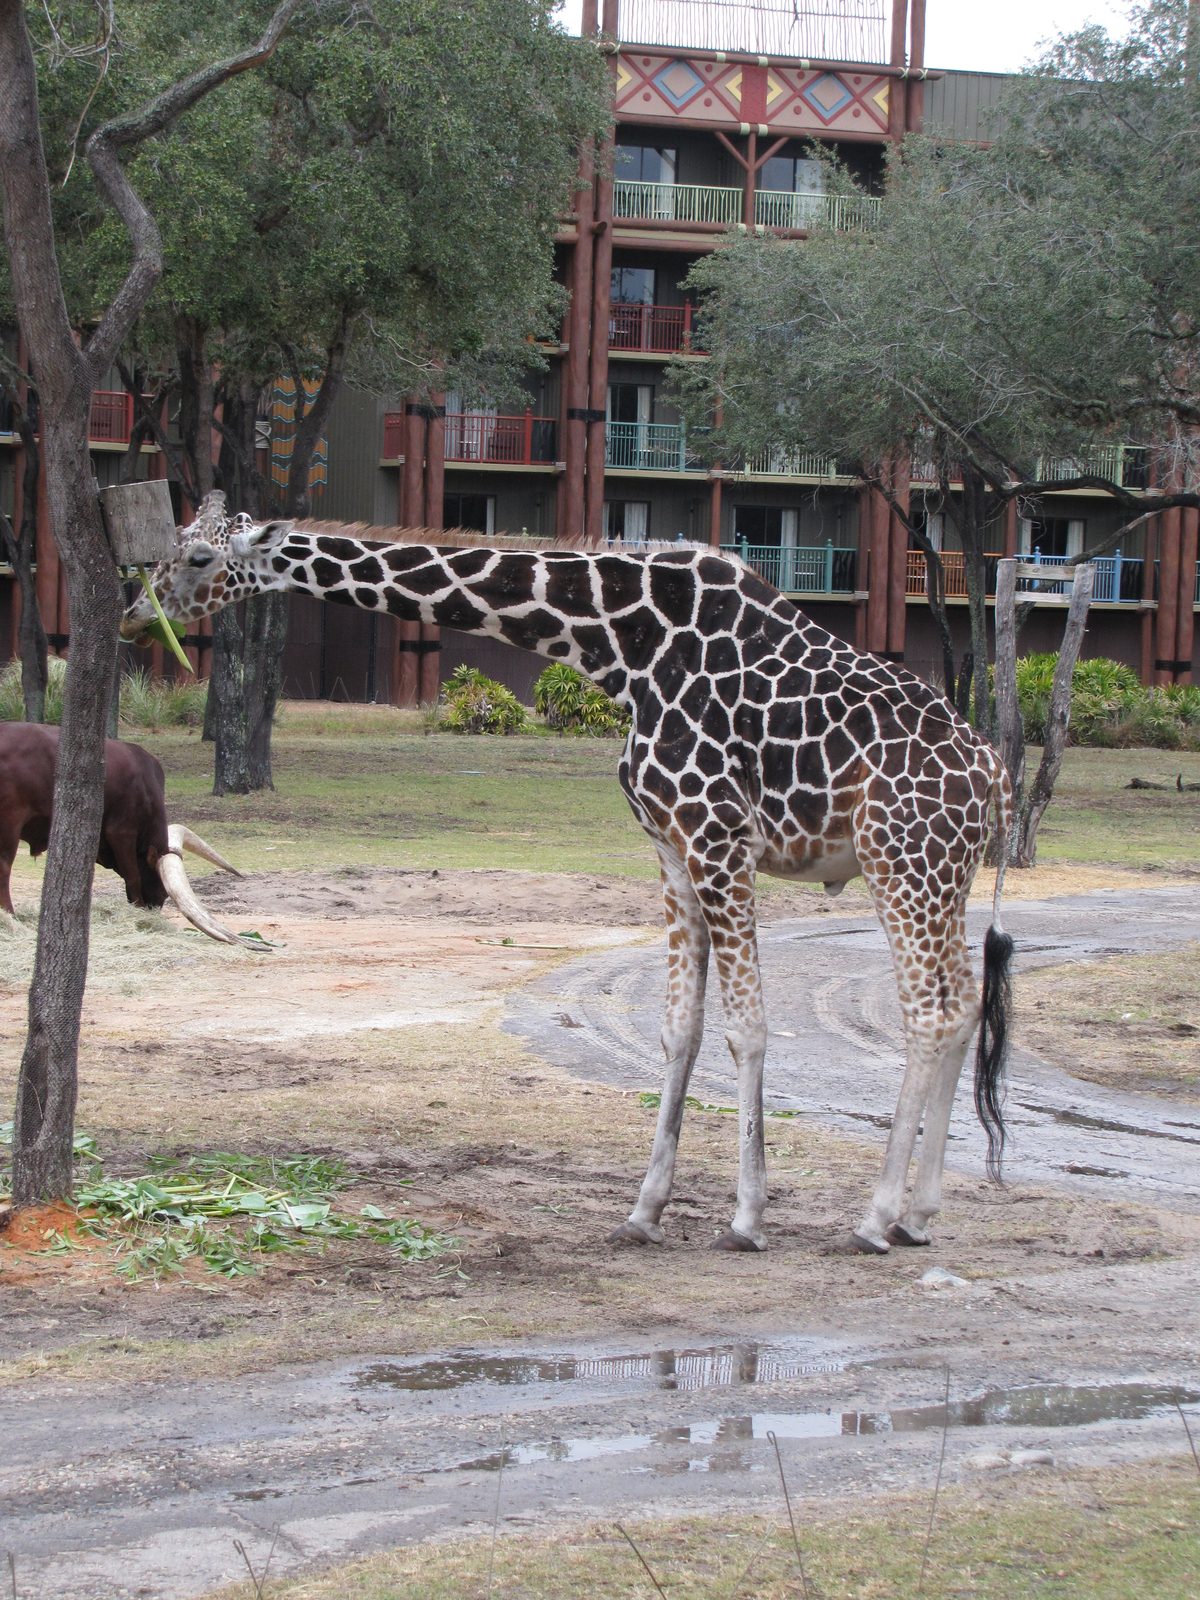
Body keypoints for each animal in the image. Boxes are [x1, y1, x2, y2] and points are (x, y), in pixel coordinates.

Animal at [122, 499, 1014, 1255]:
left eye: (199, 556)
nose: (136, 613)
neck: (621, 646)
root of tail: (997, 777)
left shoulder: (718, 836)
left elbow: (748, 1028)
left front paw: (748, 1218)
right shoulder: (670, 847)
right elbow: (679, 1028)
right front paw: (644, 1211)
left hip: (902, 859)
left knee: (931, 1013)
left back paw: (875, 1219)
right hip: (944, 876)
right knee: (965, 1006)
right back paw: (919, 1216)